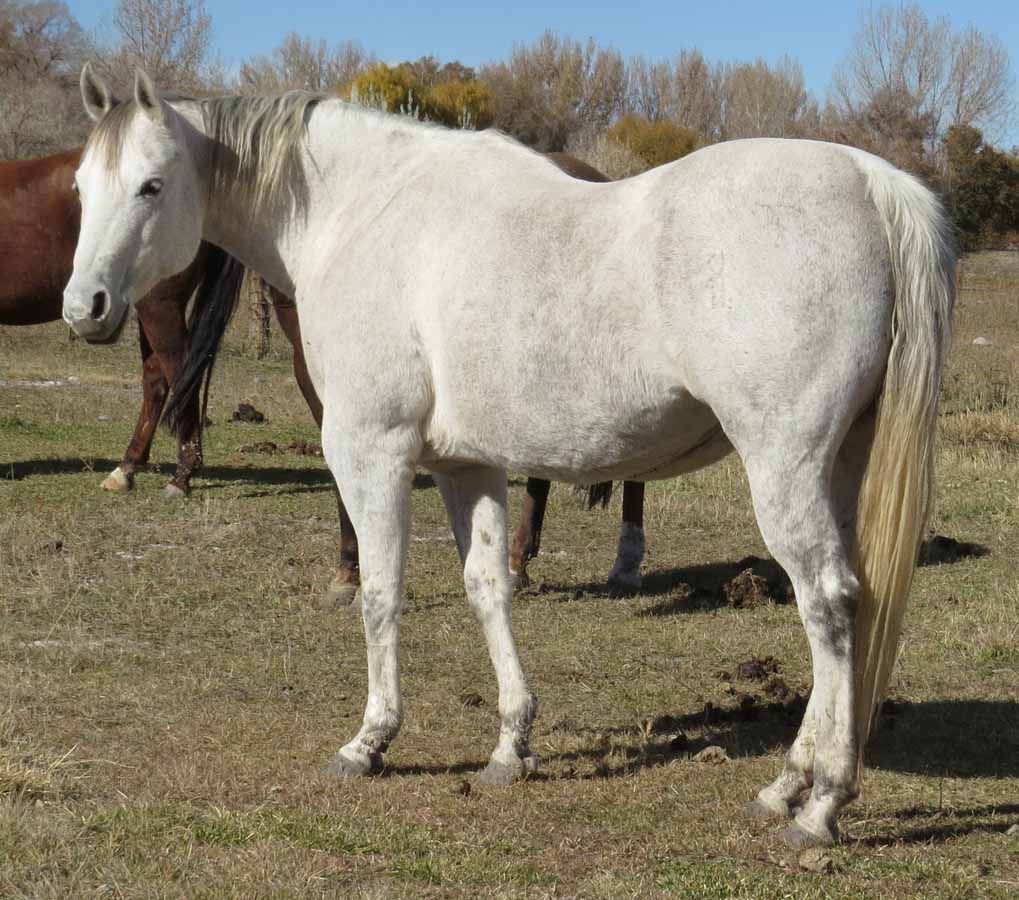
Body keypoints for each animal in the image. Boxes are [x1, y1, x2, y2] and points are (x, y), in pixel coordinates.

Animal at [63, 67, 954, 848]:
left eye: (150, 185)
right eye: (79, 188)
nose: (85, 308)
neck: (359, 214)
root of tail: (868, 180)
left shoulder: (370, 451)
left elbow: (380, 594)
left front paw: (370, 741)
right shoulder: (467, 468)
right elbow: (488, 589)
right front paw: (509, 747)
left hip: (783, 467)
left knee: (825, 604)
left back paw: (821, 805)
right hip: (838, 467)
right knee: (849, 601)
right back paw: (784, 786)